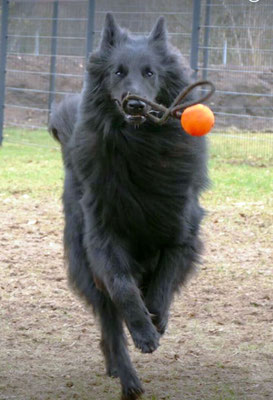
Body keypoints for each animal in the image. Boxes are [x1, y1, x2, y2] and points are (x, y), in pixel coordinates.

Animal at [49, 13, 207, 400]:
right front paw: (144, 332)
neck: (140, 150)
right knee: (109, 326)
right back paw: (127, 378)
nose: (135, 105)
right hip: (86, 266)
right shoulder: (103, 239)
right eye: (118, 72)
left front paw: (157, 317)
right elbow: (122, 287)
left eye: (149, 72)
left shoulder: (182, 232)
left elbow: (166, 275)